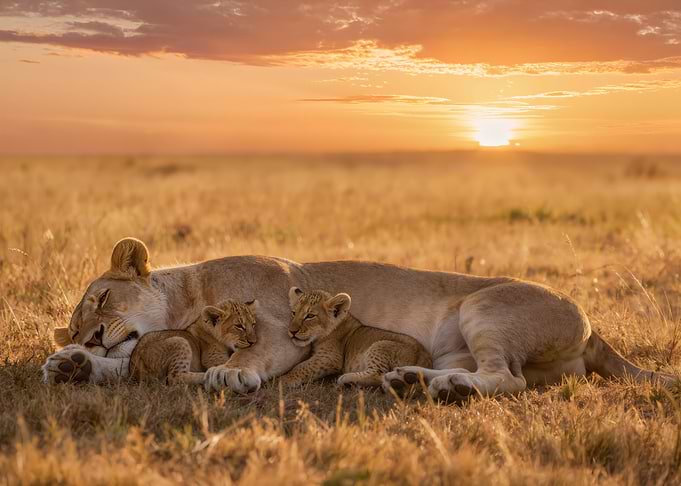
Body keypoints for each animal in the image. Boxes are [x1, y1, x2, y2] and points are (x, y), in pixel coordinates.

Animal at [281, 287, 431, 387]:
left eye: (310, 316)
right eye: (293, 313)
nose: (291, 331)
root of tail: (425, 358)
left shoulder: (330, 357)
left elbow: (302, 367)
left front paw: (283, 380)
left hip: (379, 345)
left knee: (378, 375)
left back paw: (346, 379)